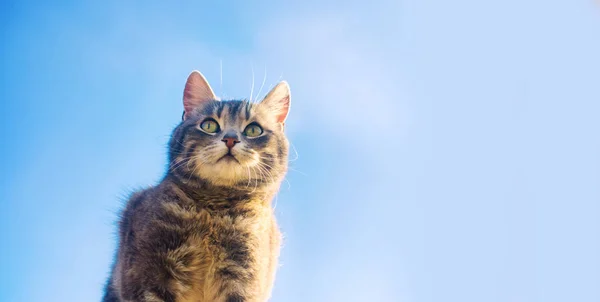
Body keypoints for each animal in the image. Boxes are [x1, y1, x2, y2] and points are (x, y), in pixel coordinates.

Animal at [103, 71, 290, 302]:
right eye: (209, 125)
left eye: (254, 129)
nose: (230, 139)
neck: (213, 209)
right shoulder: (149, 273)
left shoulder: (243, 276)